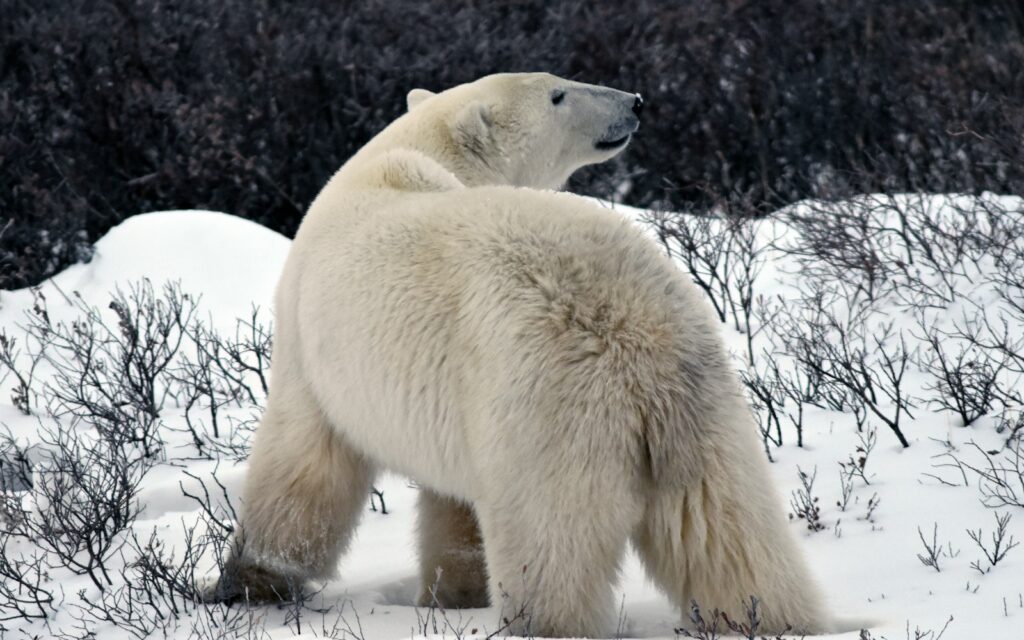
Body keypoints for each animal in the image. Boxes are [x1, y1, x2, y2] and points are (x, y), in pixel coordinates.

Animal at [203, 72, 832, 637]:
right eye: (558, 92)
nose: (634, 101)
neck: (416, 155)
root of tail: (637, 332)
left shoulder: (310, 343)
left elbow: (303, 460)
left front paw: (247, 581)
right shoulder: (452, 394)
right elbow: (454, 507)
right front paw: (452, 594)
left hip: (546, 409)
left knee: (550, 546)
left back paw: (538, 624)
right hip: (704, 405)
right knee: (727, 531)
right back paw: (776, 619)